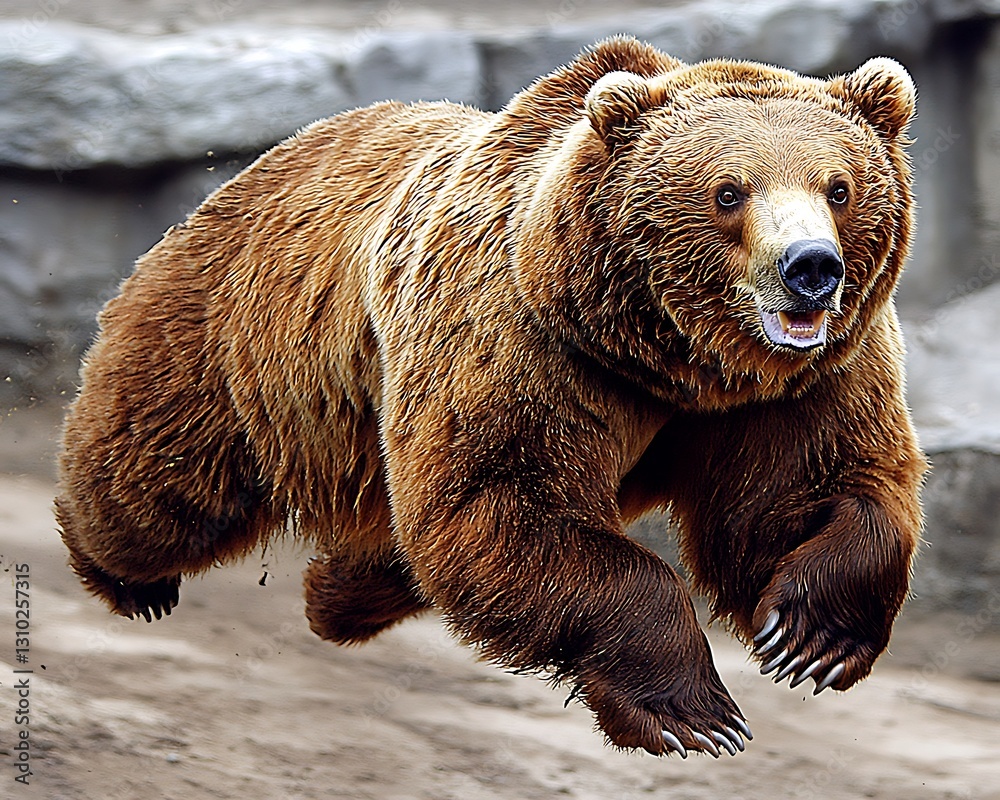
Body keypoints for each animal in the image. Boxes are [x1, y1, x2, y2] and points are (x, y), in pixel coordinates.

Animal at [56, 36, 926, 759]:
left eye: (839, 187)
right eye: (728, 191)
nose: (809, 267)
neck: (670, 360)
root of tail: (268, 157)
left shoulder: (799, 383)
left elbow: (803, 494)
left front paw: (810, 637)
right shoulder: (524, 342)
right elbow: (501, 497)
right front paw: (695, 714)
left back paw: (338, 598)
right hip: (240, 340)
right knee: (159, 478)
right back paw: (126, 575)